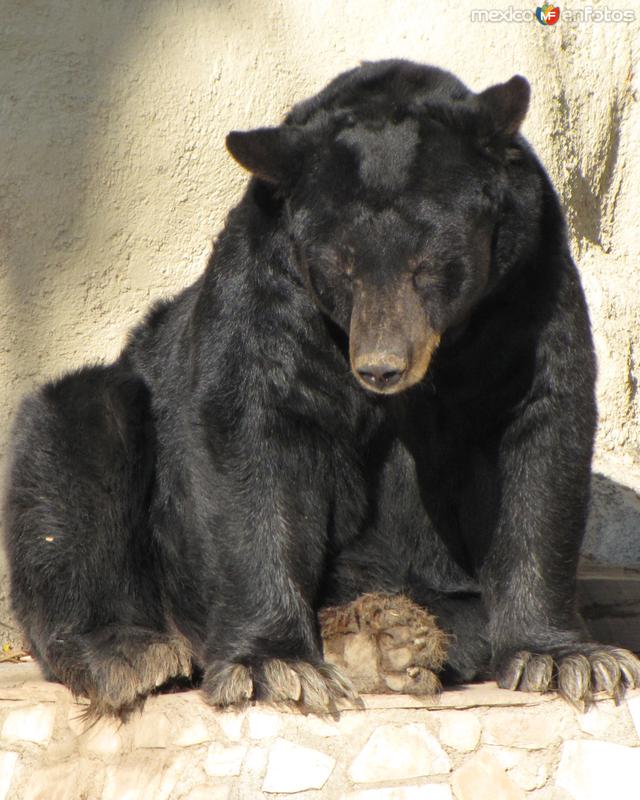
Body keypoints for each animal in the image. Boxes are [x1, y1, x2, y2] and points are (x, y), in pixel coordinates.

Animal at [2, 59, 636, 716]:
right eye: (341, 265)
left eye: (430, 264)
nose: (381, 366)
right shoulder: (268, 289)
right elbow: (256, 437)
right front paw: (275, 665)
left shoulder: (527, 288)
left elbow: (539, 434)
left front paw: (562, 658)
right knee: (77, 443)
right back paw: (130, 653)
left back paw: (389, 634)